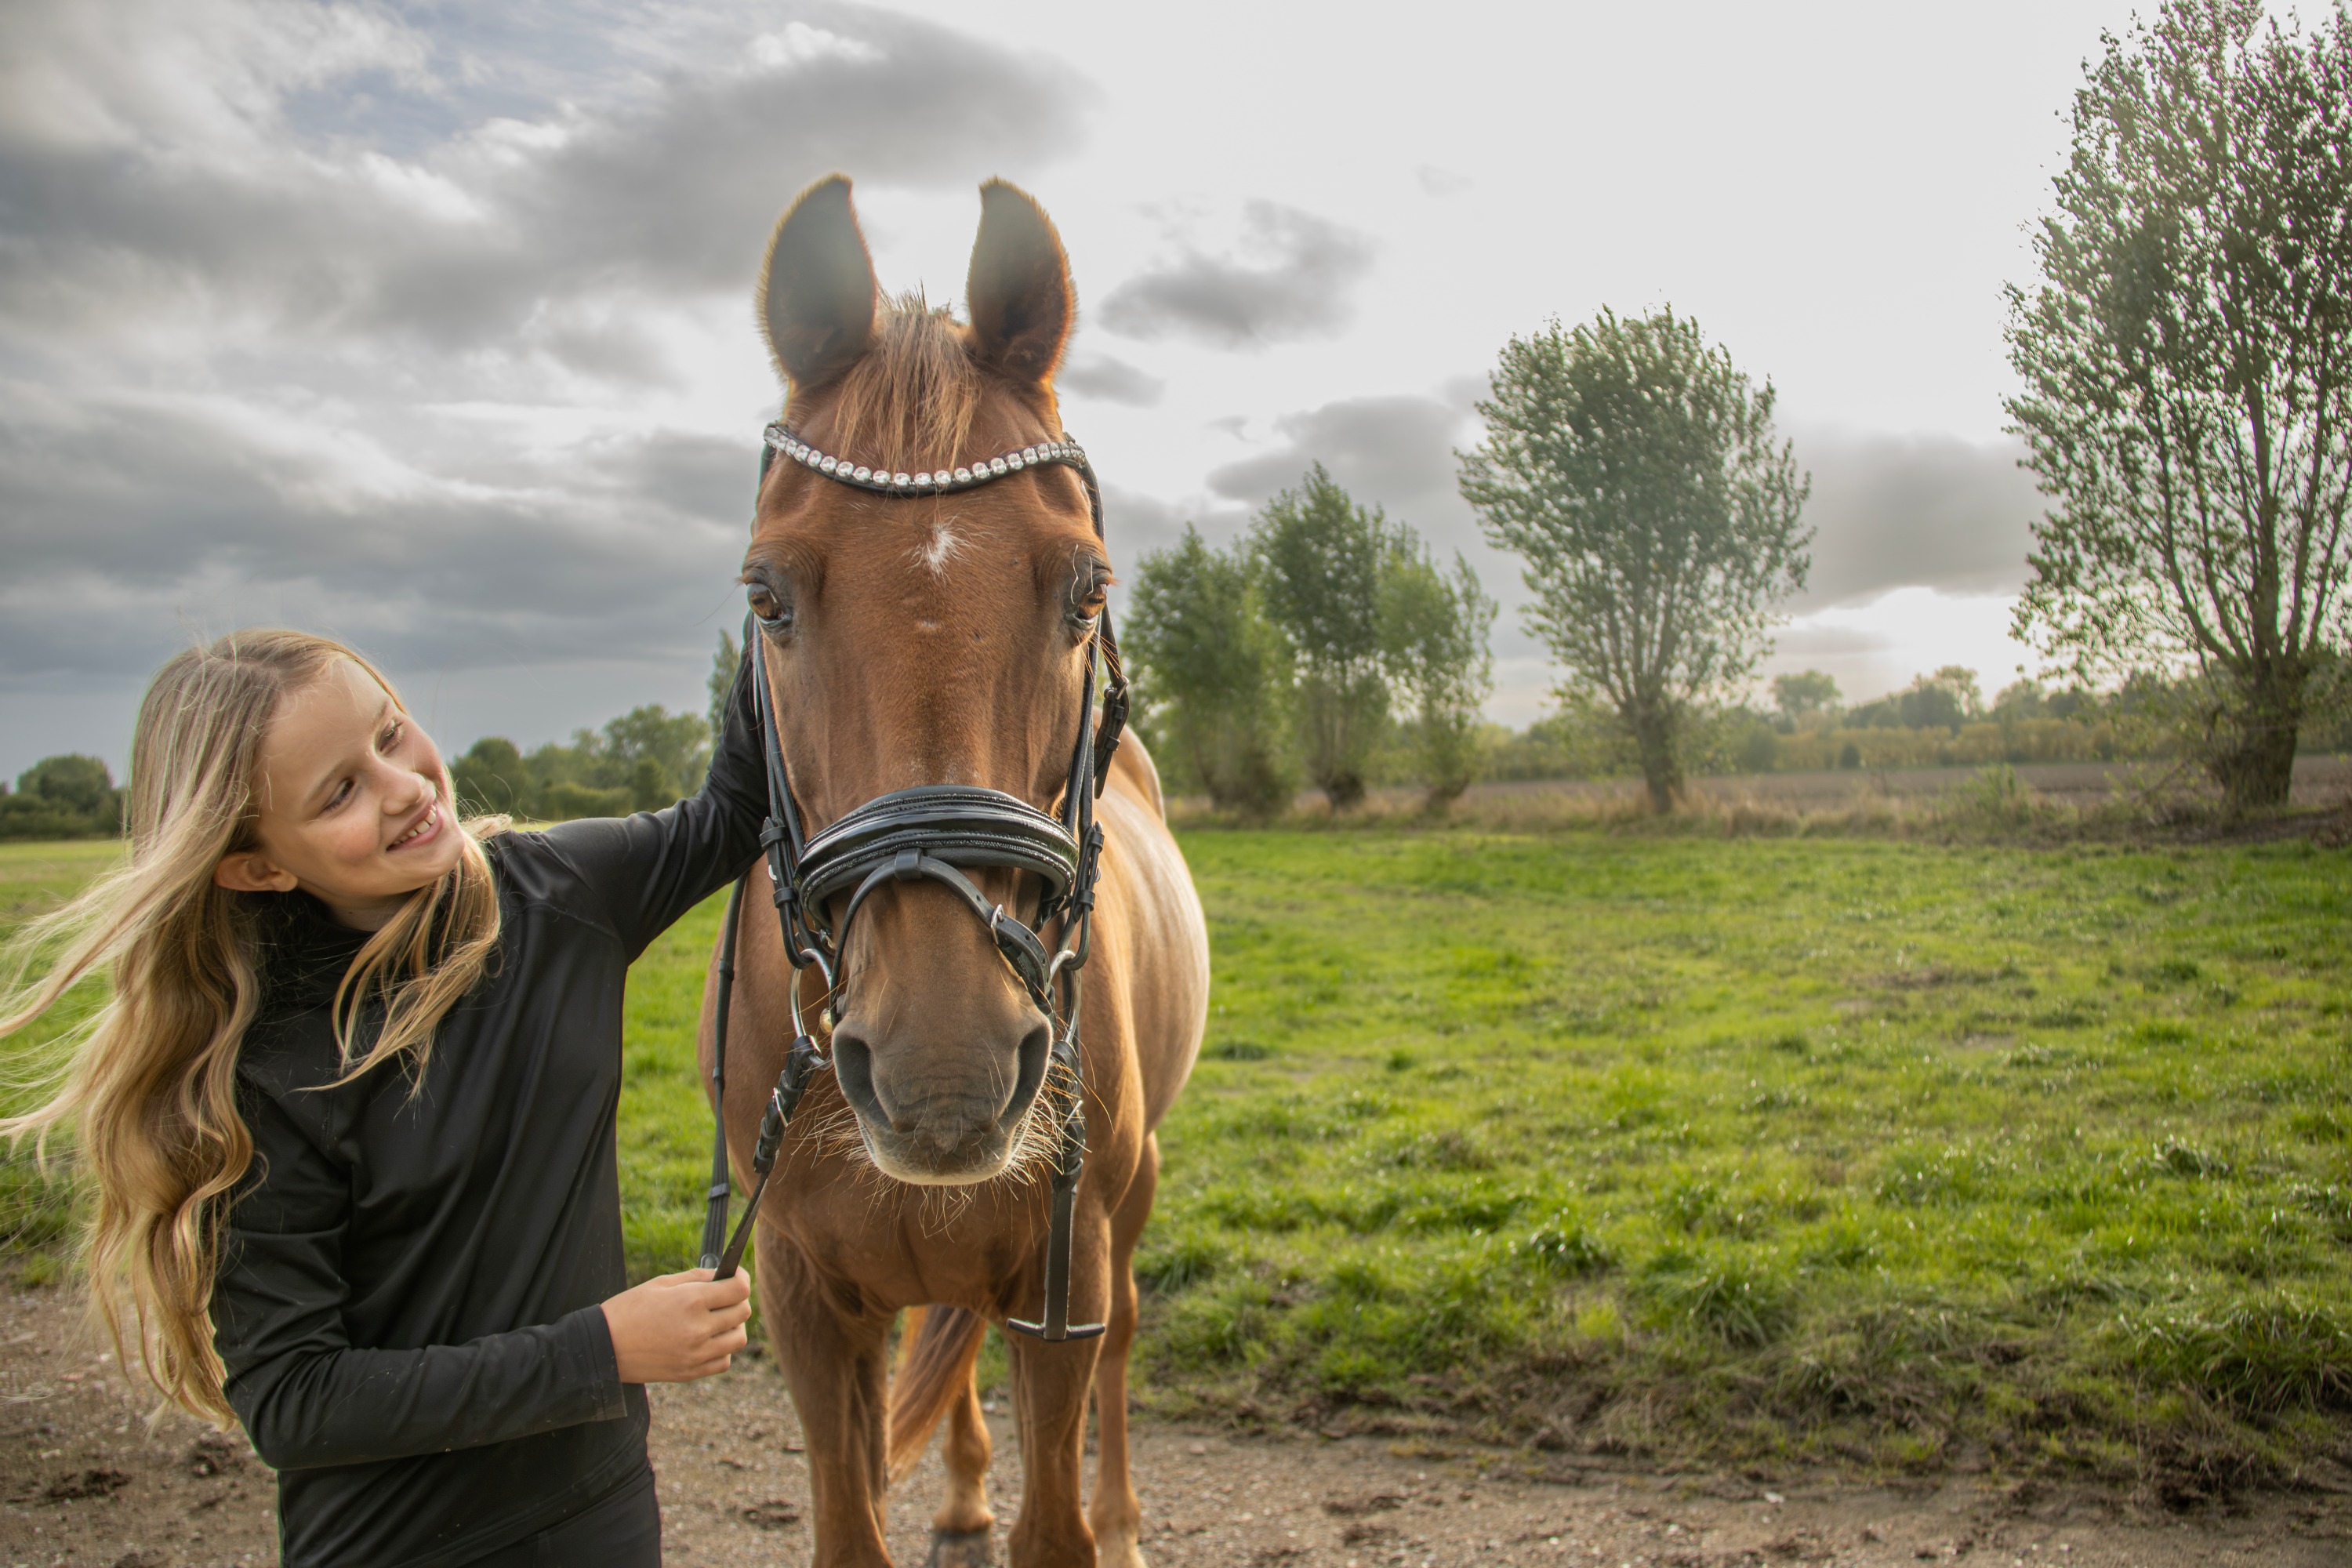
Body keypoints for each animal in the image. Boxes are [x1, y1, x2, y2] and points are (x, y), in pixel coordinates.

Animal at [698, 174, 1210, 1568]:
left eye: (1085, 589)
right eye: (766, 595)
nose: (944, 1068)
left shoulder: (1064, 1271)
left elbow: (1059, 1519)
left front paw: (1088, 1523)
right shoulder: (804, 1300)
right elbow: (849, 1520)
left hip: (1125, 1207)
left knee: (1124, 1342)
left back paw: (1126, 1515)